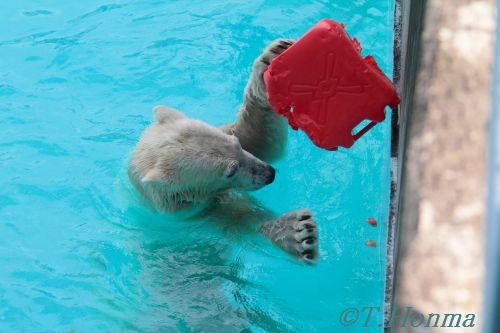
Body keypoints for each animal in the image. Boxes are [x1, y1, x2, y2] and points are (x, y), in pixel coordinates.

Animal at [129, 39, 316, 262]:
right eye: (231, 171)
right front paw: (297, 232)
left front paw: (269, 59)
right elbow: (242, 220)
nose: (269, 173)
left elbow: (260, 139)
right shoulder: (196, 213)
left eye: (236, 144)